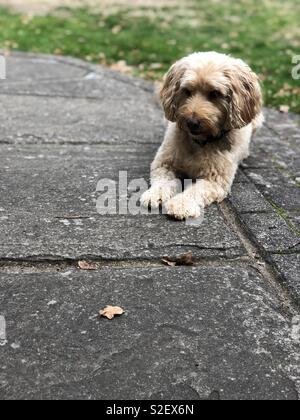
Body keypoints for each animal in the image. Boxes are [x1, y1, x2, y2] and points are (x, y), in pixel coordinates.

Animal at [140, 52, 262, 220]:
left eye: (215, 93)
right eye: (187, 91)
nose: (192, 122)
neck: (199, 143)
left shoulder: (215, 180)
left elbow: (195, 191)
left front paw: (181, 205)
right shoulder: (164, 164)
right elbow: (162, 181)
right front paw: (154, 194)